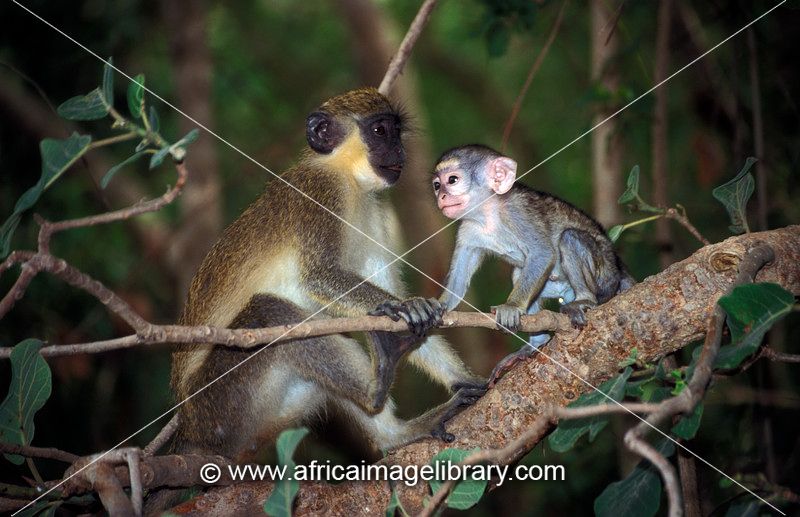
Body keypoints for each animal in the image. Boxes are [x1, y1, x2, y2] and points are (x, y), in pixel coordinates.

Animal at [169, 88, 484, 464]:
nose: (400, 151)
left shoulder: (375, 211)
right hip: (217, 402)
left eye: (396, 131)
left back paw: (395, 434)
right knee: (268, 312)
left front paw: (465, 377)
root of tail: (190, 430)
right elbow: (319, 278)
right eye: (380, 131)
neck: (347, 177)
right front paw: (410, 308)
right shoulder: (321, 192)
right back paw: (373, 388)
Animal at [432, 145, 632, 378]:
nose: (441, 195)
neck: (488, 214)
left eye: (452, 180)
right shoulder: (467, 229)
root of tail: (618, 269)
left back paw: (585, 299)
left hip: (605, 279)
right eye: (437, 185)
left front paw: (511, 306)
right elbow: (458, 286)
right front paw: (435, 306)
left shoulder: (517, 212)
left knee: (570, 238)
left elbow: (543, 253)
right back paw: (537, 342)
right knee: (520, 271)